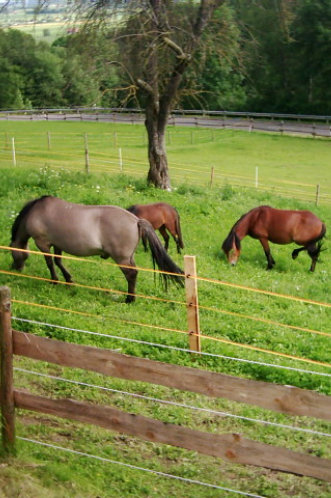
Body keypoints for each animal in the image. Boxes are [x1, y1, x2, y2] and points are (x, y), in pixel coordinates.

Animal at [10, 196, 185, 302]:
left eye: (13, 253)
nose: (16, 268)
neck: (37, 211)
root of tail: (136, 220)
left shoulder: (43, 243)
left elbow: (50, 263)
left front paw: (54, 280)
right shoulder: (58, 244)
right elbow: (58, 261)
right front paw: (68, 280)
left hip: (121, 258)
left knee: (131, 274)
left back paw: (129, 299)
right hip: (129, 257)